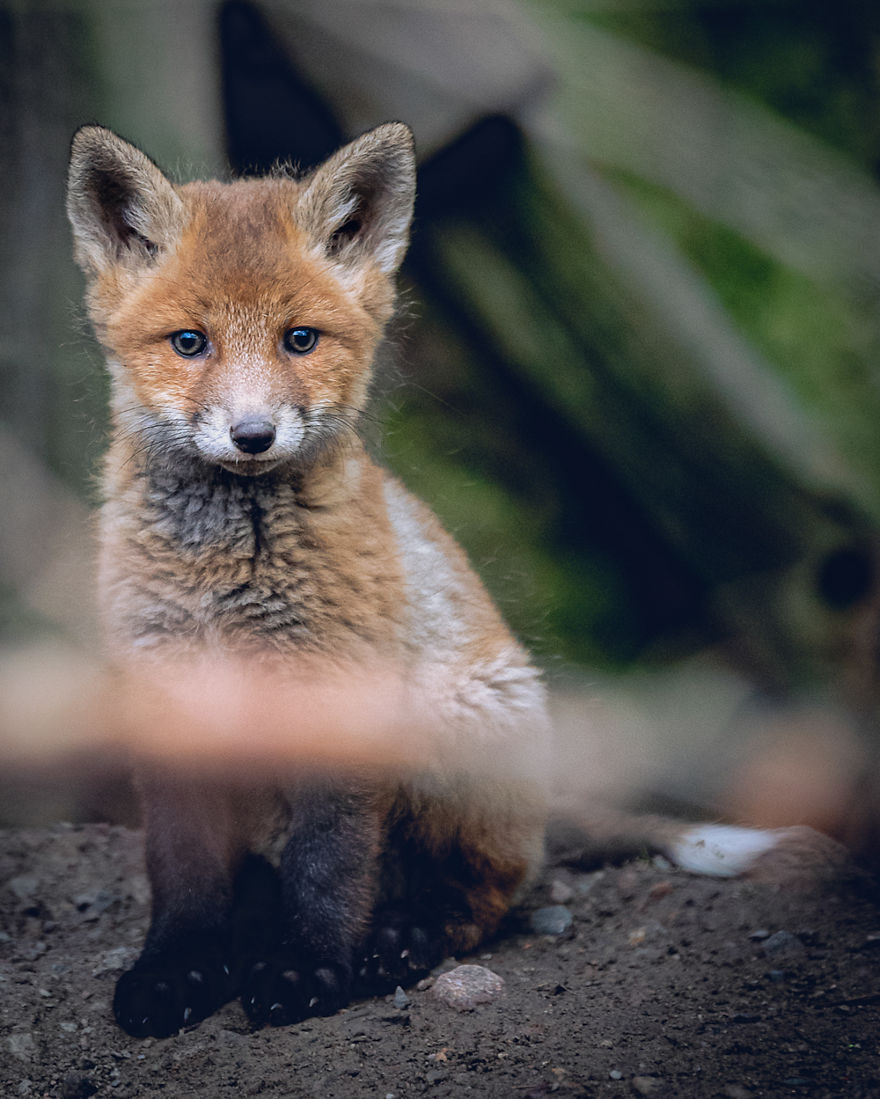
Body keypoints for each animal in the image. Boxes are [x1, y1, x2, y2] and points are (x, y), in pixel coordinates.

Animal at [67, 122, 819, 1040]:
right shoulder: (167, 694)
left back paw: (402, 939)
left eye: (299, 339)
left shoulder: (338, 690)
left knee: (486, 889)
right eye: (189, 342)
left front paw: (308, 969)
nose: (252, 436)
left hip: (451, 726)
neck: (227, 574)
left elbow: (329, 865)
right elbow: (182, 869)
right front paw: (176, 969)